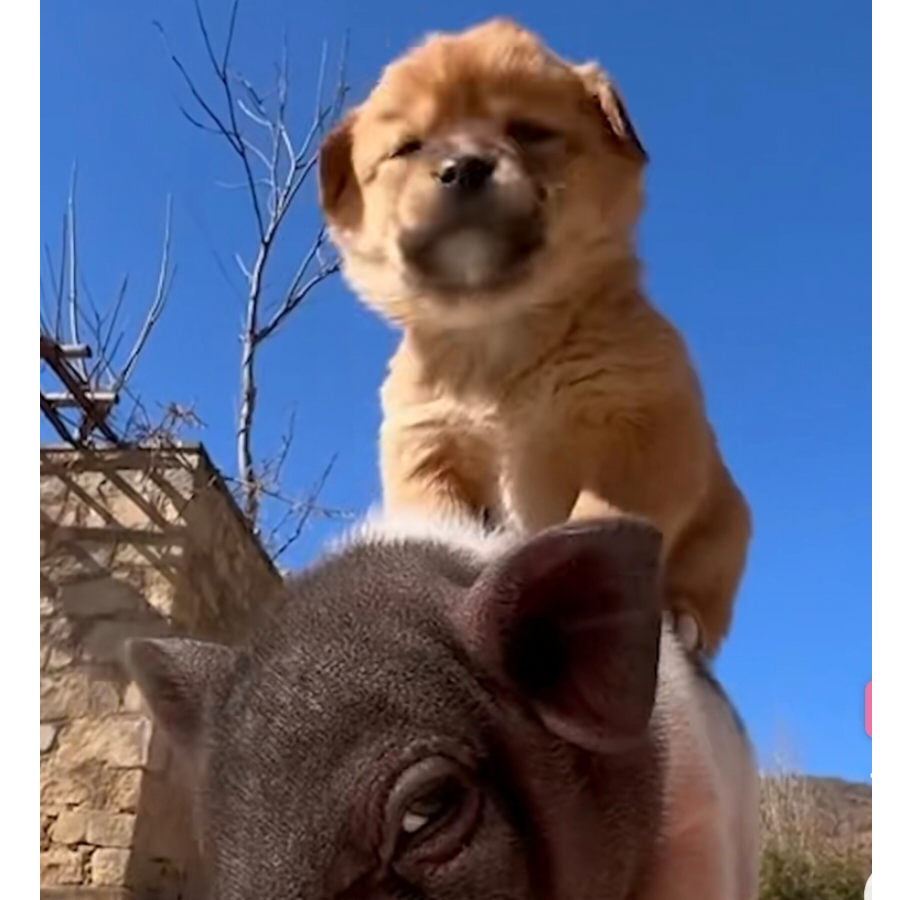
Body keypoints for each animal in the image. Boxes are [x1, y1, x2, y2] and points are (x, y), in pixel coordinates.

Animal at [318, 17, 752, 656]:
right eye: (408, 147)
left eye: (529, 132)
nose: (463, 167)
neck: (499, 337)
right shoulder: (427, 452)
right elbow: (442, 520)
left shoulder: (642, 427)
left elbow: (596, 513)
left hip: (726, 529)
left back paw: (685, 617)